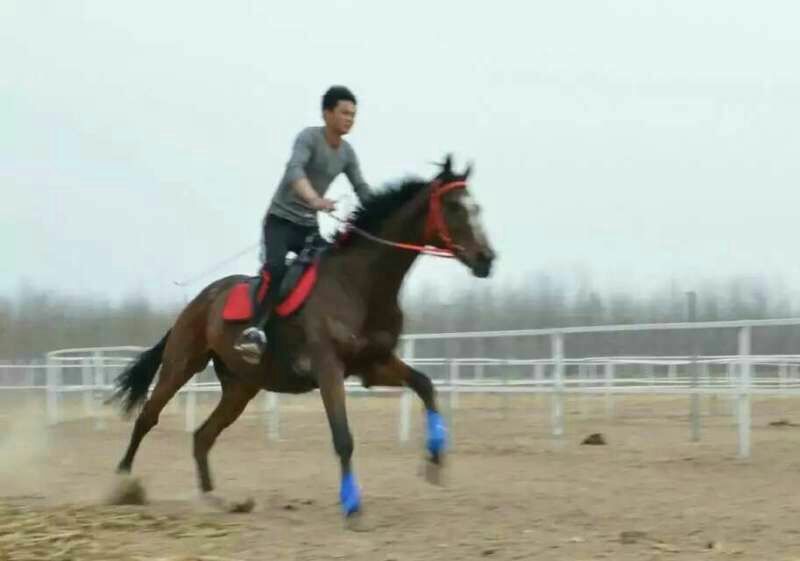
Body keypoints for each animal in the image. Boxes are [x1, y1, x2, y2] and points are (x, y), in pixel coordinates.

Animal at [107, 155, 496, 520]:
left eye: (476, 206)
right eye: (455, 206)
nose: (487, 259)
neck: (359, 284)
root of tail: (198, 302)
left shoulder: (373, 365)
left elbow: (425, 385)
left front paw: (435, 460)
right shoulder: (328, 368)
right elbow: (343, 438)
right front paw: (352, 506)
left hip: (240, 387)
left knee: (202, 436)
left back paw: (216, 500)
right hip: (182, 363)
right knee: (147, 418)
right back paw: (122, 485)